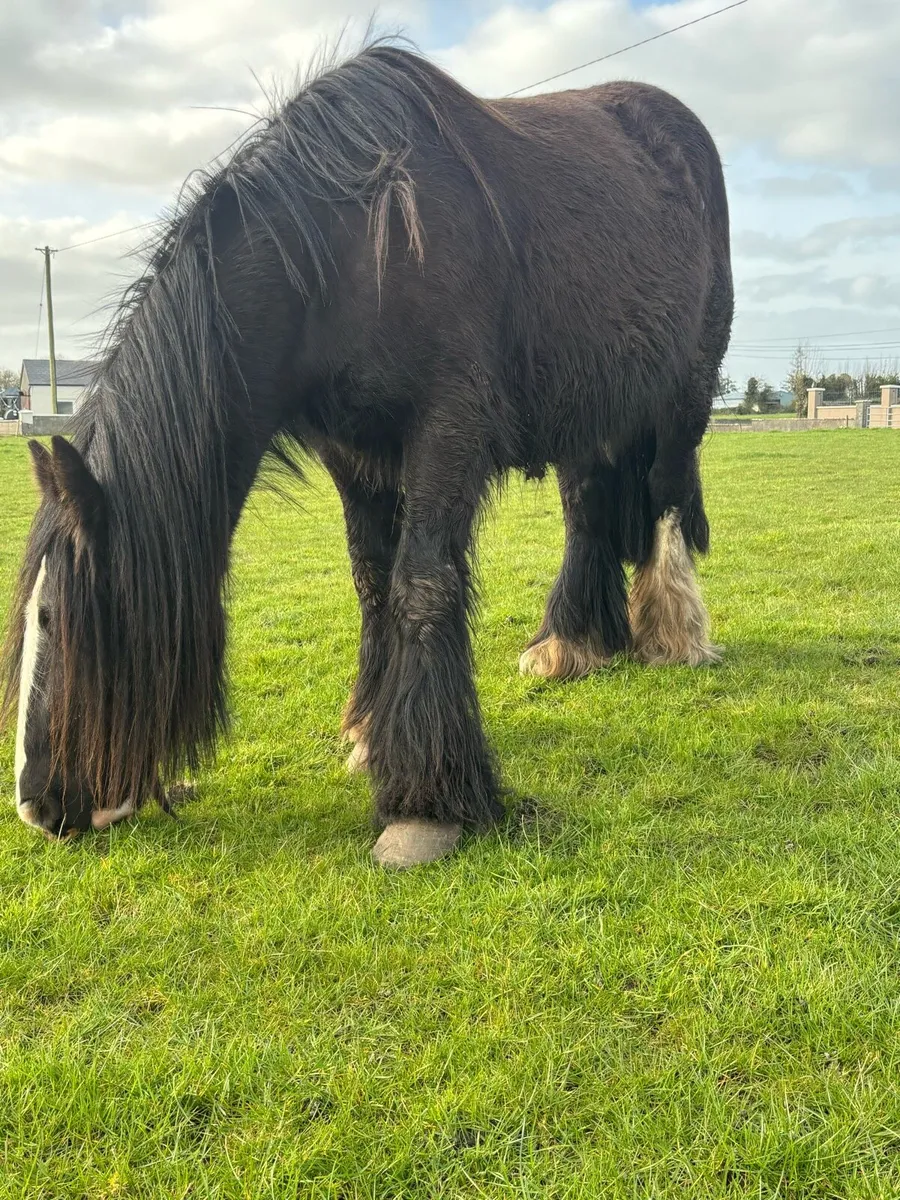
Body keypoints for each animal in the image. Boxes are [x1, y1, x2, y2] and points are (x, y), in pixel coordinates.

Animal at [2, 43, 732, 867]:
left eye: (54, 617)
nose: (33, 806)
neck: (347, 254)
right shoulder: (352, 452)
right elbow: (373, 582)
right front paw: (369, 735)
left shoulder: (448, 426)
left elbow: (422, 584)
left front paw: (425, 804)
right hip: (590, 405)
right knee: (588, 512)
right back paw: (571, 644)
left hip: (684, 392)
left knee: (665, 493)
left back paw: (673, 635)